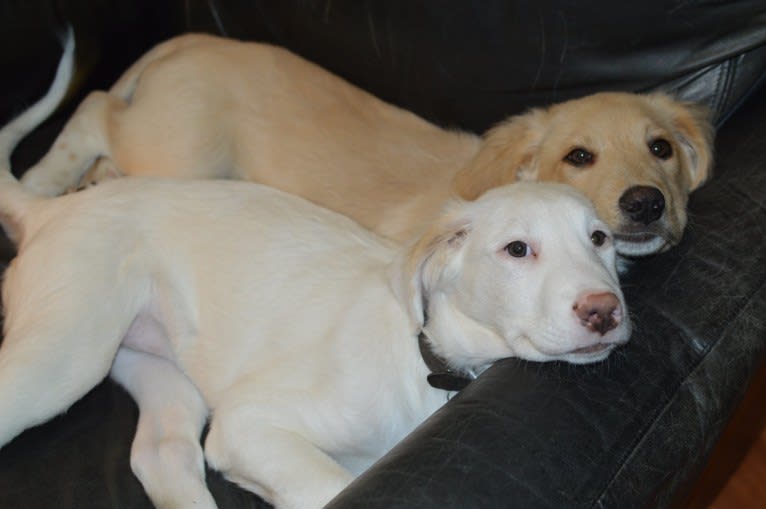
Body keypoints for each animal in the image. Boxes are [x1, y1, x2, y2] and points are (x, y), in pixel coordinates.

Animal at [0, 84, 632, 508]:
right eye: (517, 250)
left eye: (599, 239)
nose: (604, 311)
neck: (427, 360)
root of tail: (51, 209)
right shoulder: (249, 423)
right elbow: (333, 486)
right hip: (64, 354)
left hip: (163, 371)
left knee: (161, 454)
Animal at [18, 32, 712, 254]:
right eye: (578, 157)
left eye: (661, 148)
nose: (647, 204)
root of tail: (194, 39)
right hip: (181, 151)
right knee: (93, 106)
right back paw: (40, 181)